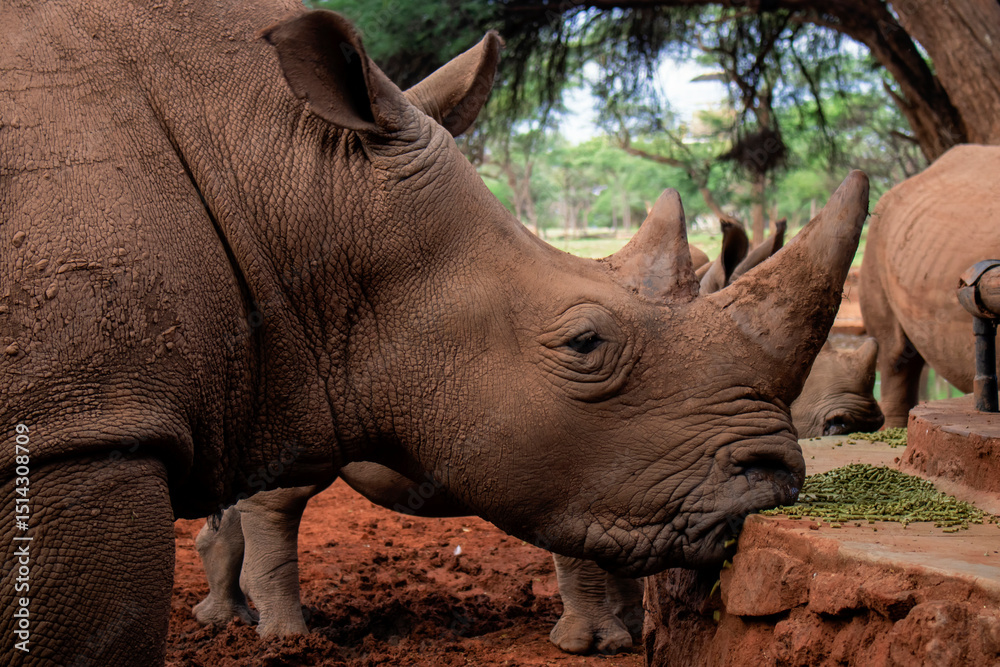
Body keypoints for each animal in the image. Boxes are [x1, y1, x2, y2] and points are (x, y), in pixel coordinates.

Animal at [0, 1, 867, 663]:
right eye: (585, 343)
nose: (781, 472)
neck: (302, 184)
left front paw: (620, 629)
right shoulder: (78, 430)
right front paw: (596, 644)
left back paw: (232, 622)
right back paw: (288, 639)